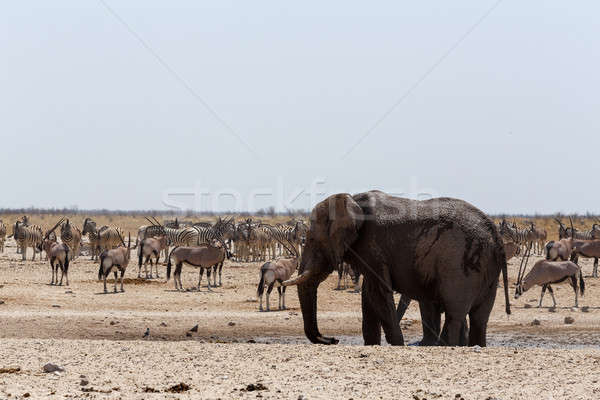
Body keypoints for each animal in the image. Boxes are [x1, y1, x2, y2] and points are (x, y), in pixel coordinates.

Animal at [284, 191, 508, 346]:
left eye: (312, 240)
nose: (333, 339)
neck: (352, 200)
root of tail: (495, 235)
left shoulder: (372, 245)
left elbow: (378, 293)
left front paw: (397, 344)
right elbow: (369, 295)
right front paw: (372, 345)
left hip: (461, 265)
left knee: (455, 313)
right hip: (487, 269)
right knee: (480, 318)